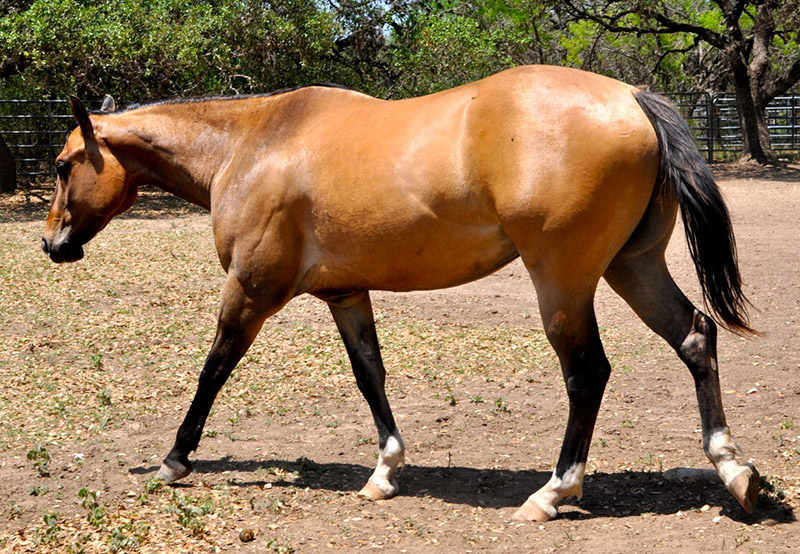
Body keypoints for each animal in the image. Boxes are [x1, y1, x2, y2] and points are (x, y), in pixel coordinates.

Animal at [40, 67, 760, 520]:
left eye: (63, 165)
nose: (52, 245)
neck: (253, 142)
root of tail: (633, 98)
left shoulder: (251, 289)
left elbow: (213, 369)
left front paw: (175, 459)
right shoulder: (346, 293)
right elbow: (370, 376)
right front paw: (385, 470)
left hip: (564, 280)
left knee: (587, 373)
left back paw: (554, 492)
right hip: (632, 268)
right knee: (696, 336)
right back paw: (734, 471)